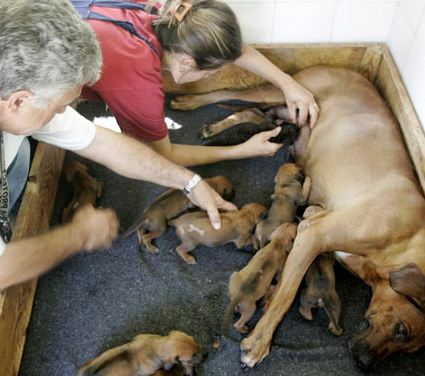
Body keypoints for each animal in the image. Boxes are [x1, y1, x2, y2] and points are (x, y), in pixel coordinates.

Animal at [171, 66, 424, 368]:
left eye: (410, 351)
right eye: (401, 329)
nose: (363, 363)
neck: (408, 239)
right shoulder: (313, 235)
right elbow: (286, 294)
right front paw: (259, 343)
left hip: (286, 116)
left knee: (254, 115)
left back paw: (217, 126)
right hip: (284, 92)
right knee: (229, 93)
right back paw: (189, 102)